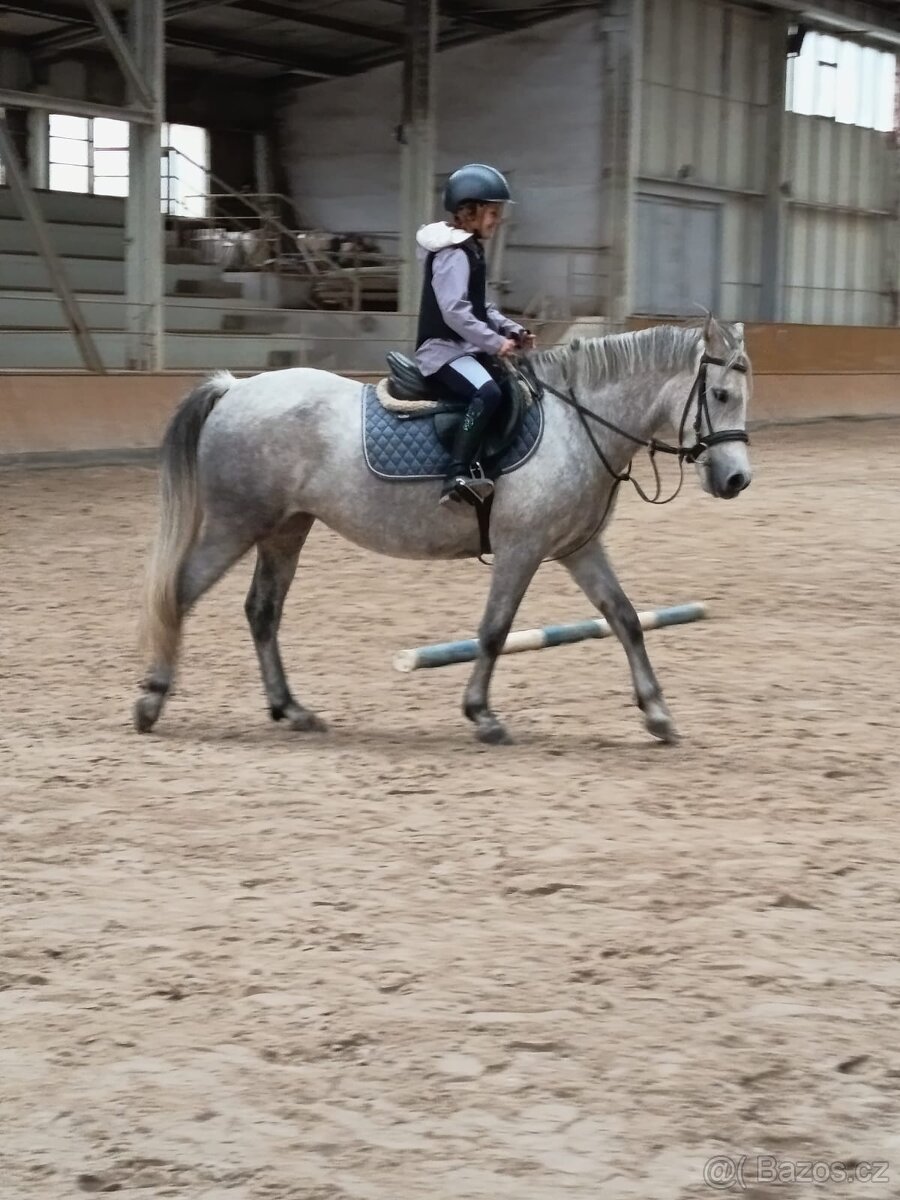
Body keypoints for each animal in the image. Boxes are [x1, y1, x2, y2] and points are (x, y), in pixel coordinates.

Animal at [135, 316, 752, 746]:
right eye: (719, 395)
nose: (737, 479)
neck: (577, 425)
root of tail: (235, 388)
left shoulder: (578, 548)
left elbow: (625, 619)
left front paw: (658, 714)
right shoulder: (522, 548)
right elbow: (494, 630)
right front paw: (482, 715)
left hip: (286, 529)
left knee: (262, 611)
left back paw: (291, 708)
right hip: (236, 523)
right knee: (180, 594)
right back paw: (151, 700)